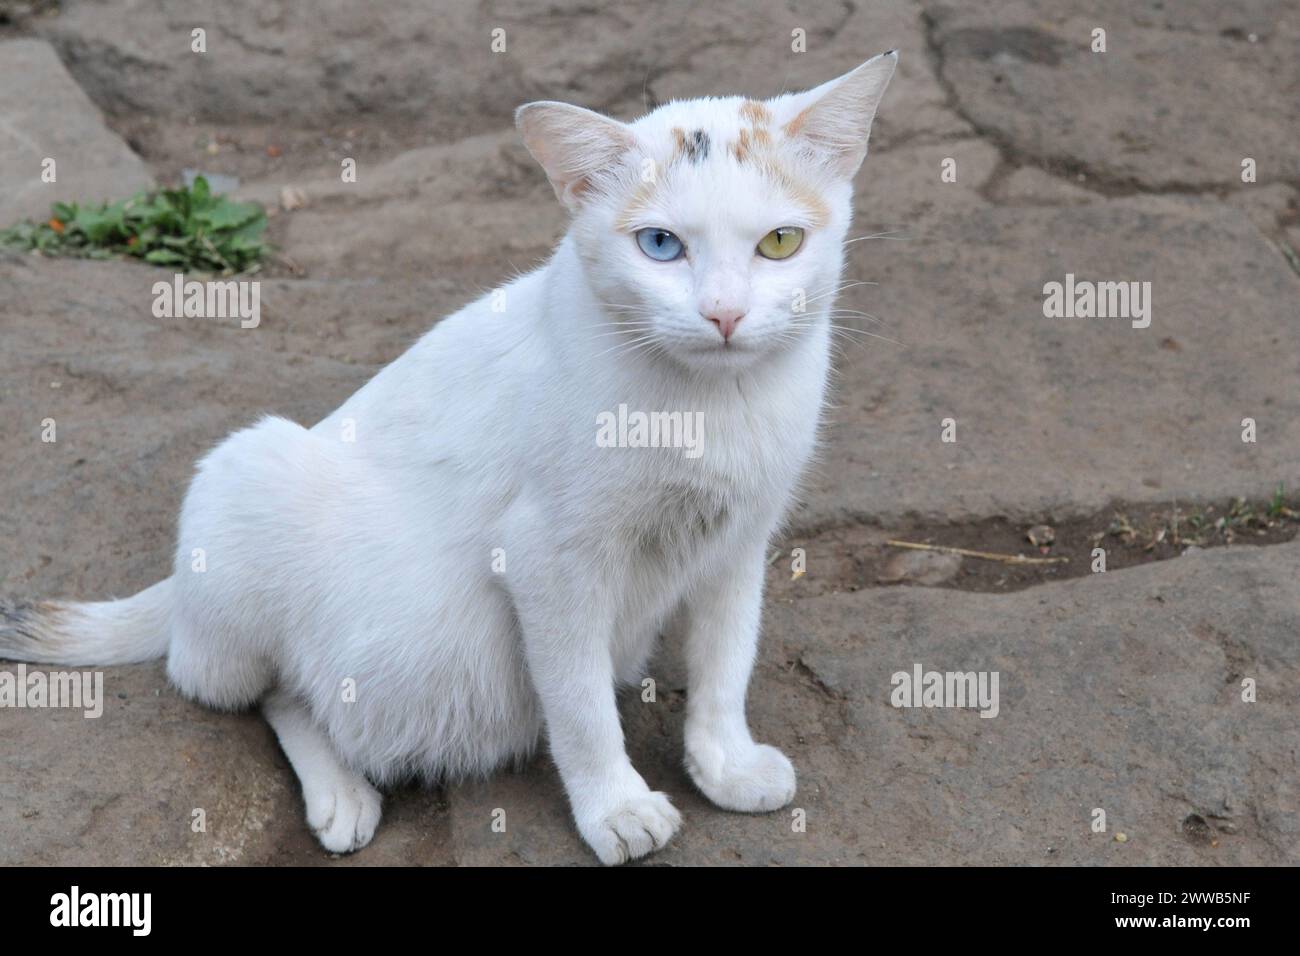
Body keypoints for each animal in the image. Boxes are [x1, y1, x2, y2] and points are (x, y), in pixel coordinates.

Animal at [0, 55, 894, 868]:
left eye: (780, 242)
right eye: (660, 246)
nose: (724, 314)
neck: (713, 403)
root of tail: (178, 592)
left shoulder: (738, 542)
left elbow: (725, 664)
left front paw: (723, 765)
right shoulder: (547, 559)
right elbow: (579, 702)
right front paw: (615, 808)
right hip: (246, 476)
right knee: (268, 690)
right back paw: (341, 793)